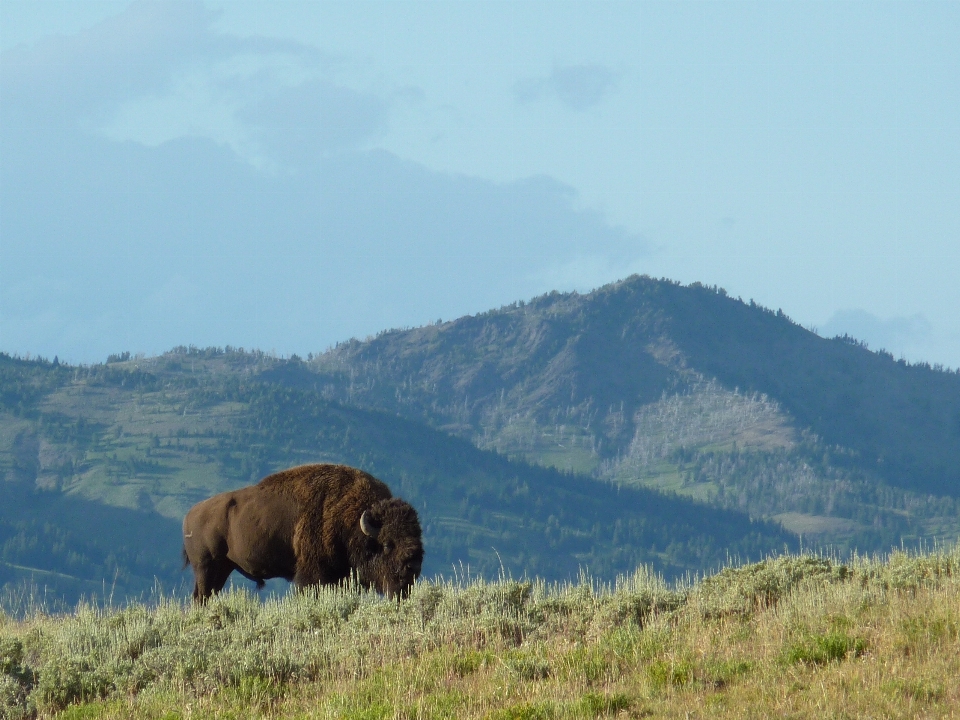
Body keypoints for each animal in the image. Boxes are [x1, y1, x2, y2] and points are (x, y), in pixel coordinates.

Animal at [182, 464, 422, 600]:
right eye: (388, 544)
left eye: (417, 537)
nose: (413, 566)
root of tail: (190, 514)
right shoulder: (312, 575)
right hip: (206, 567)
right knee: (201, 597)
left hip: (222, 568)